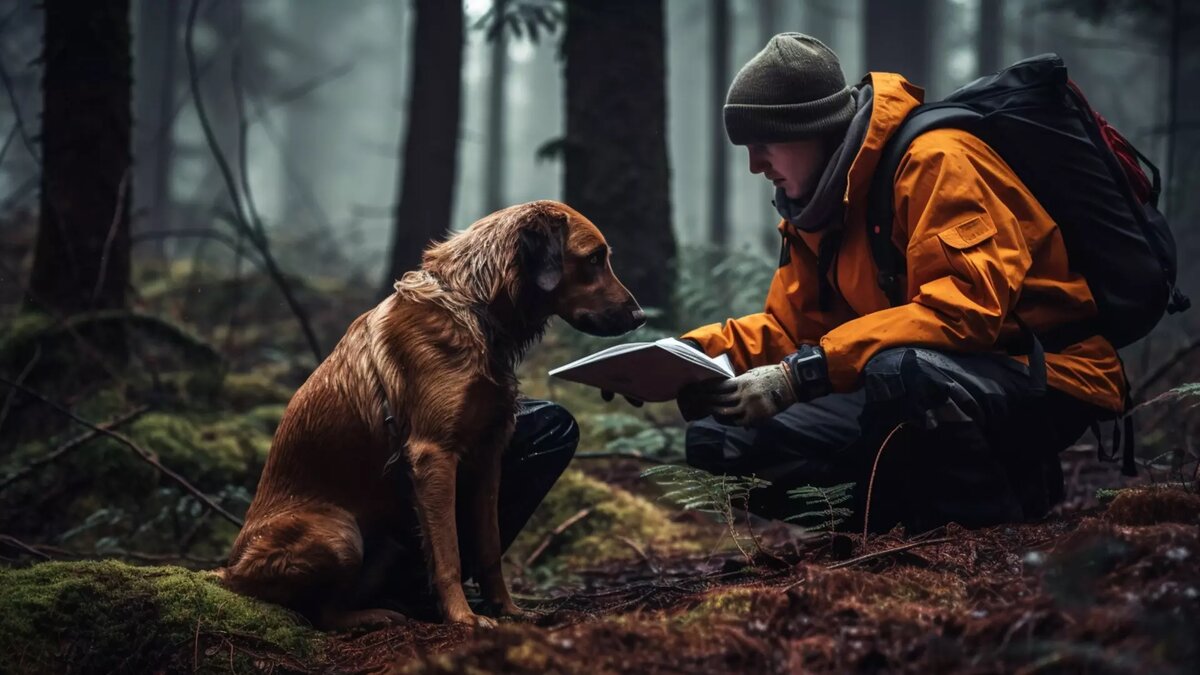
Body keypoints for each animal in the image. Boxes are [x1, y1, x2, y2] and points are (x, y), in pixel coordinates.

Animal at [219, 198, 643, 624]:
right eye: (594, 259)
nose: (640, 317)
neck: (471, 308)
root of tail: (228, 569)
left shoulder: (489, 454)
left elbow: (488, 547)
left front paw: (507, 608)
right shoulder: (433, 454)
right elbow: (448, 552)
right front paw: (463, 617)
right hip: (339, 533)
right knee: (320, 612)